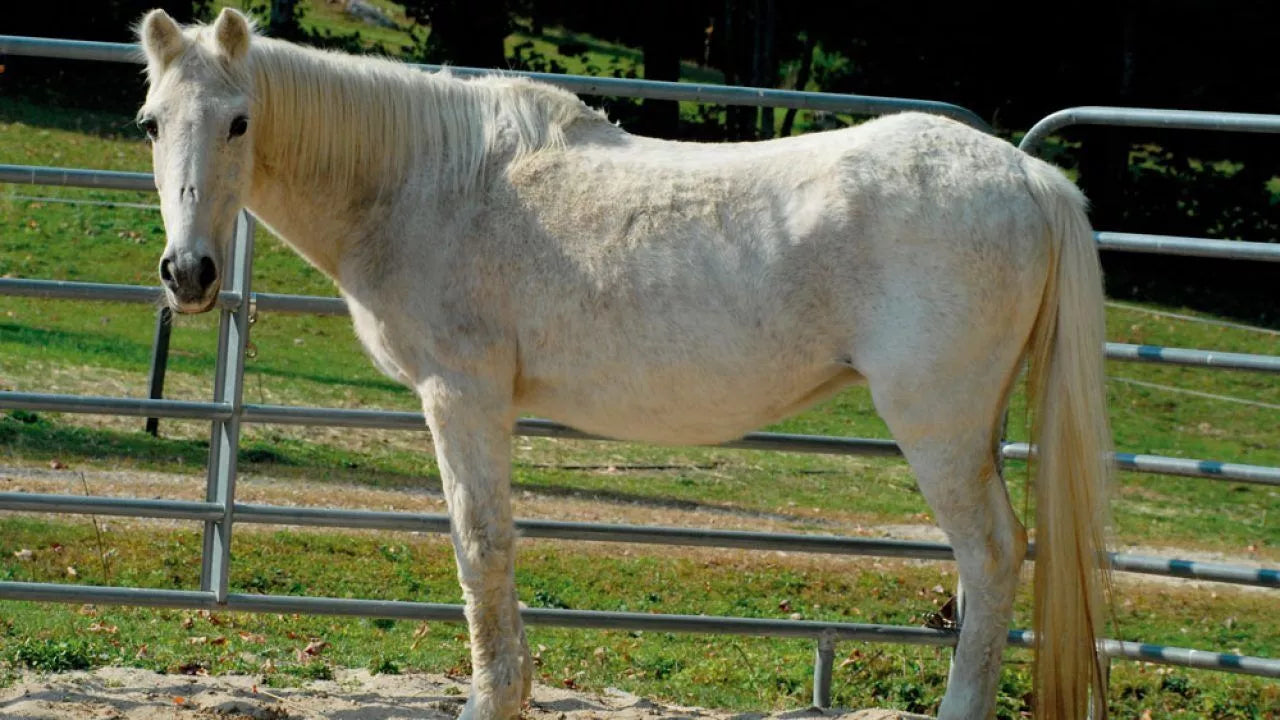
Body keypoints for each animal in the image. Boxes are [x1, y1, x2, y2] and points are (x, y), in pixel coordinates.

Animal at [135, 8, 1113, 719]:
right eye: (149, 124)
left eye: (240, 122)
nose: (190, 274)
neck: (425, 183)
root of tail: (1029, 177)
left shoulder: (463, 397)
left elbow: (481, 548)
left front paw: (493, 701)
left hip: (937, 423)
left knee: (992, 555)